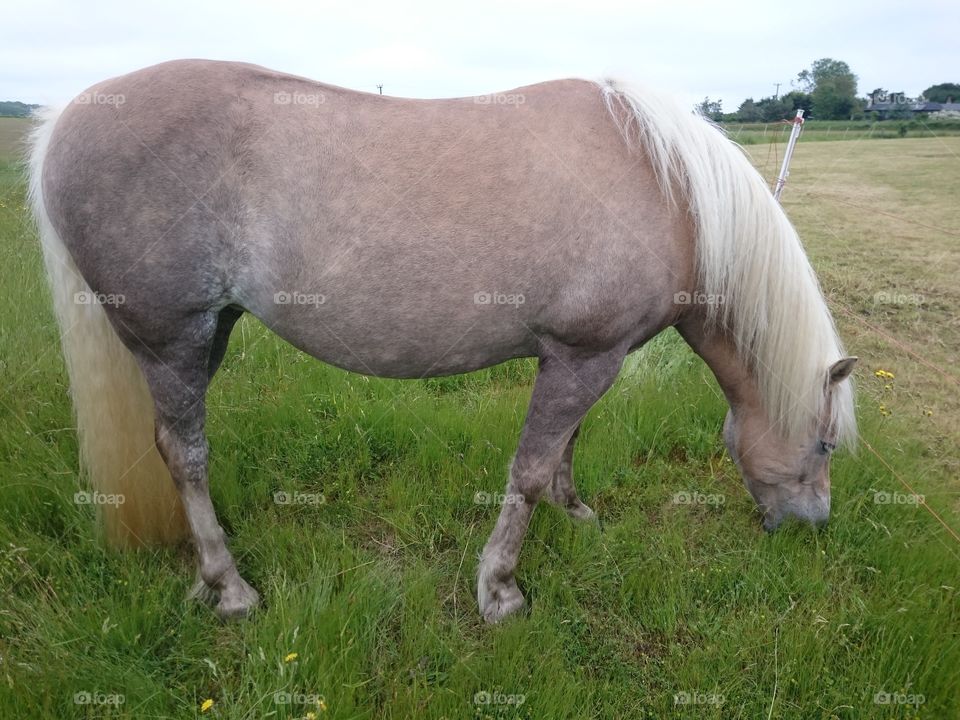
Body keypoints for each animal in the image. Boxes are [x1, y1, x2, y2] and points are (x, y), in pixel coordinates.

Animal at [28, 59, 856, 620]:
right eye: (824, 445)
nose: (813, 526)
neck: (670, 192)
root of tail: (67, 117)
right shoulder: (581, 357)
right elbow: (529, 469)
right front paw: (500, 589)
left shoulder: (592, 358)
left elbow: (566, 447)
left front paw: (577, 516)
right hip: (171, 339)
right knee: (185, 454)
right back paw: (228, 586)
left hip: (207, 333)